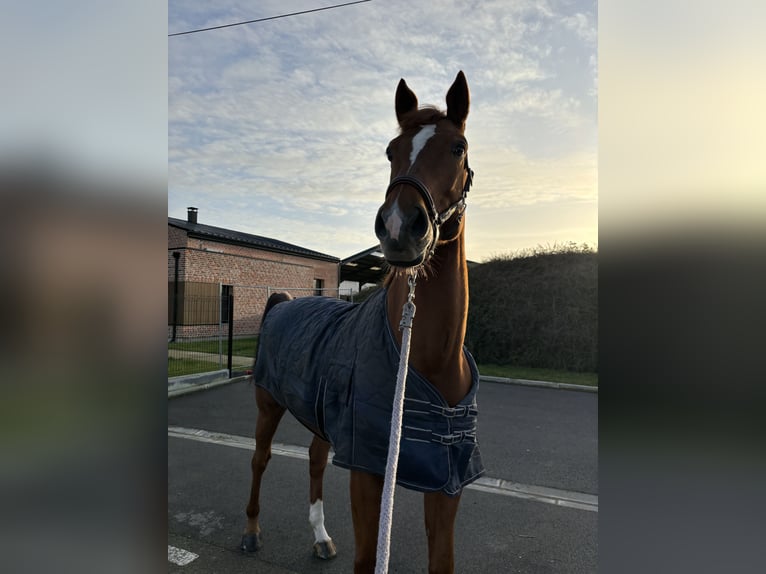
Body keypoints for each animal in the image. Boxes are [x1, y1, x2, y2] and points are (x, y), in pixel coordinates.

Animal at [244, 72, 486, 574]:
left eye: (458, 148)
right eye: (391, 151)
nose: (399, 227)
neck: (425, 360)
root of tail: (280, 303)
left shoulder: (447, 480)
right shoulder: (367, 470)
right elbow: (366, 558)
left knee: (316, 460)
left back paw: (320, 536)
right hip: (268, 405)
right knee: (260, 459)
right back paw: (251, 531)